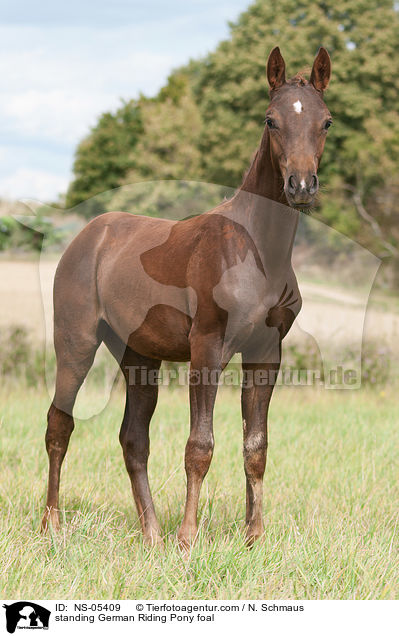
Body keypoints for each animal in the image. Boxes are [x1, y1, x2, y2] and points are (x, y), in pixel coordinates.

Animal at [42, 48, 332, 548]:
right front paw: (188, 539)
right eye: (270, 120)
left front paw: (254, 538)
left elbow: (256, 446)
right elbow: (200, 445)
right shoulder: (207, 347)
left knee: (133, 439)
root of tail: (88, 234)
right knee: (59, 424)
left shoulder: (265, 353)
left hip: (138, 353)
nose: (300, 186)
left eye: (326, 121)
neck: (256, 250)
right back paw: (52, 525)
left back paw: (152, 534)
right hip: (76, 342)